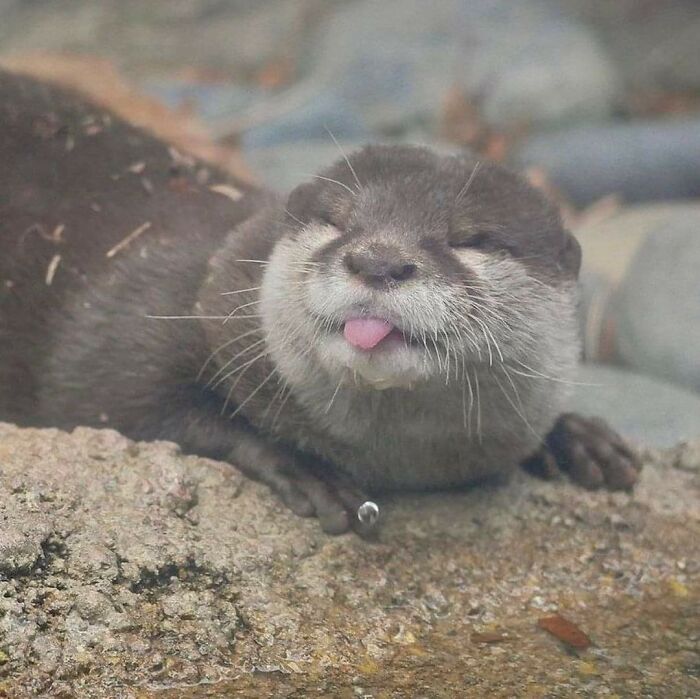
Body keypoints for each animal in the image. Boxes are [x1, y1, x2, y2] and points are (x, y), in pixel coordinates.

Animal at [0, 71, 639, 534]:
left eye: (470, 239)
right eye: (339, 223)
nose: (378, 260)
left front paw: (575, 437)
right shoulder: (127, 331)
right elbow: (127, 406)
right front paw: (307, 468)